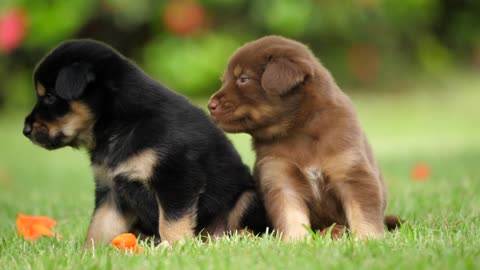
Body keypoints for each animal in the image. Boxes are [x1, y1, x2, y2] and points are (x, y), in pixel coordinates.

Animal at [23, 39, 266, 247]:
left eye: (50, 97)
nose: (25, 130)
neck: (120, 125)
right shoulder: (112, 192)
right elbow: (98, 228)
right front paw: (88, 254)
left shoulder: (177, 179)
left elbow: (171, 223)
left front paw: (174, 248)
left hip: (247, 197)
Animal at [208, 35, 400, 240]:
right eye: (224, 80)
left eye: (243, 79)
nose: (210, 105)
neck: (299, 132)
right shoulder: (280, 178)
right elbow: (291, 215)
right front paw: (296, 240)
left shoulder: (352, 172)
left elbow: (363, 214)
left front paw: (368, 239)